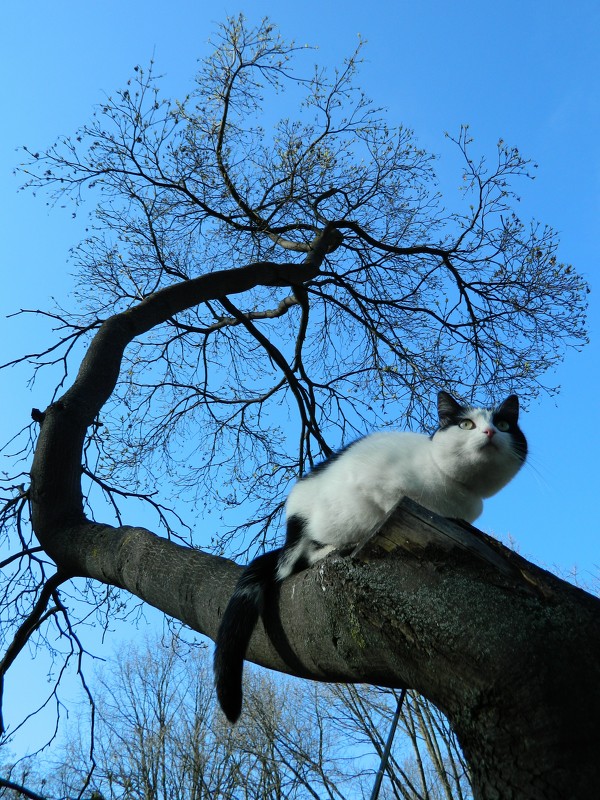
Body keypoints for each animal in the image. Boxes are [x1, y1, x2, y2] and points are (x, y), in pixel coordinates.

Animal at [214, 390, 524, 720]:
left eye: (503, 424)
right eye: (466, 424)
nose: (489, 432)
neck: (455, 491)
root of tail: (291, 522)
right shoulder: (378, 485)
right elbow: (387, 504)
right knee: (303, 557)